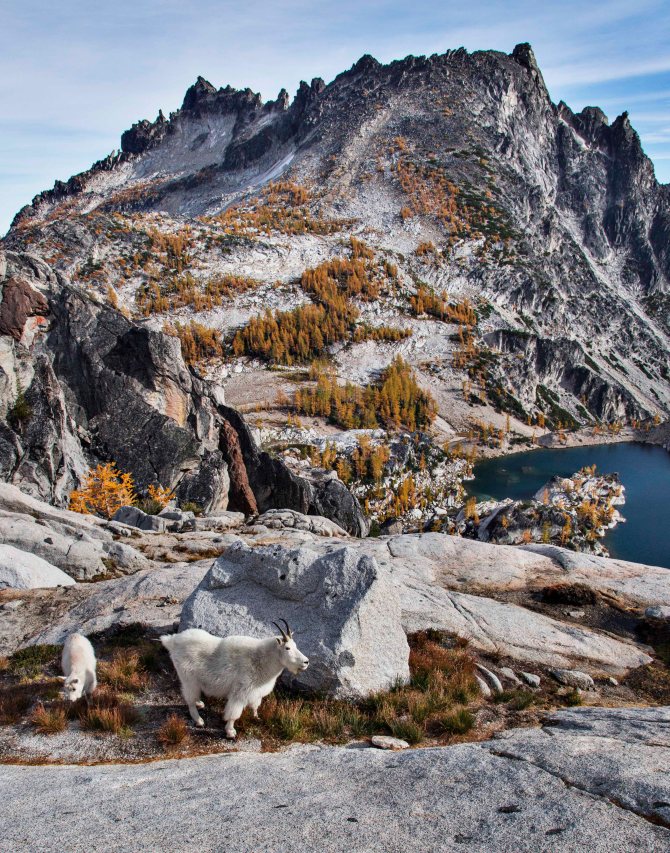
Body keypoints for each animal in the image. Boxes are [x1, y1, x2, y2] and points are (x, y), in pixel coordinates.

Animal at [160, 619, 309, 738]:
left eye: (296, 646)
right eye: (287, 648)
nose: (306, 662)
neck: (261, 659)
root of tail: (172, 641)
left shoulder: (255, 691)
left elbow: (255, 705)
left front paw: (257, 717)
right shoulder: (240, 690)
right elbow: (233, 712)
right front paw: (230, 731)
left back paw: (200, 703)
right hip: (188, 678)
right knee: (190, 699)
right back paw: (199, 720)